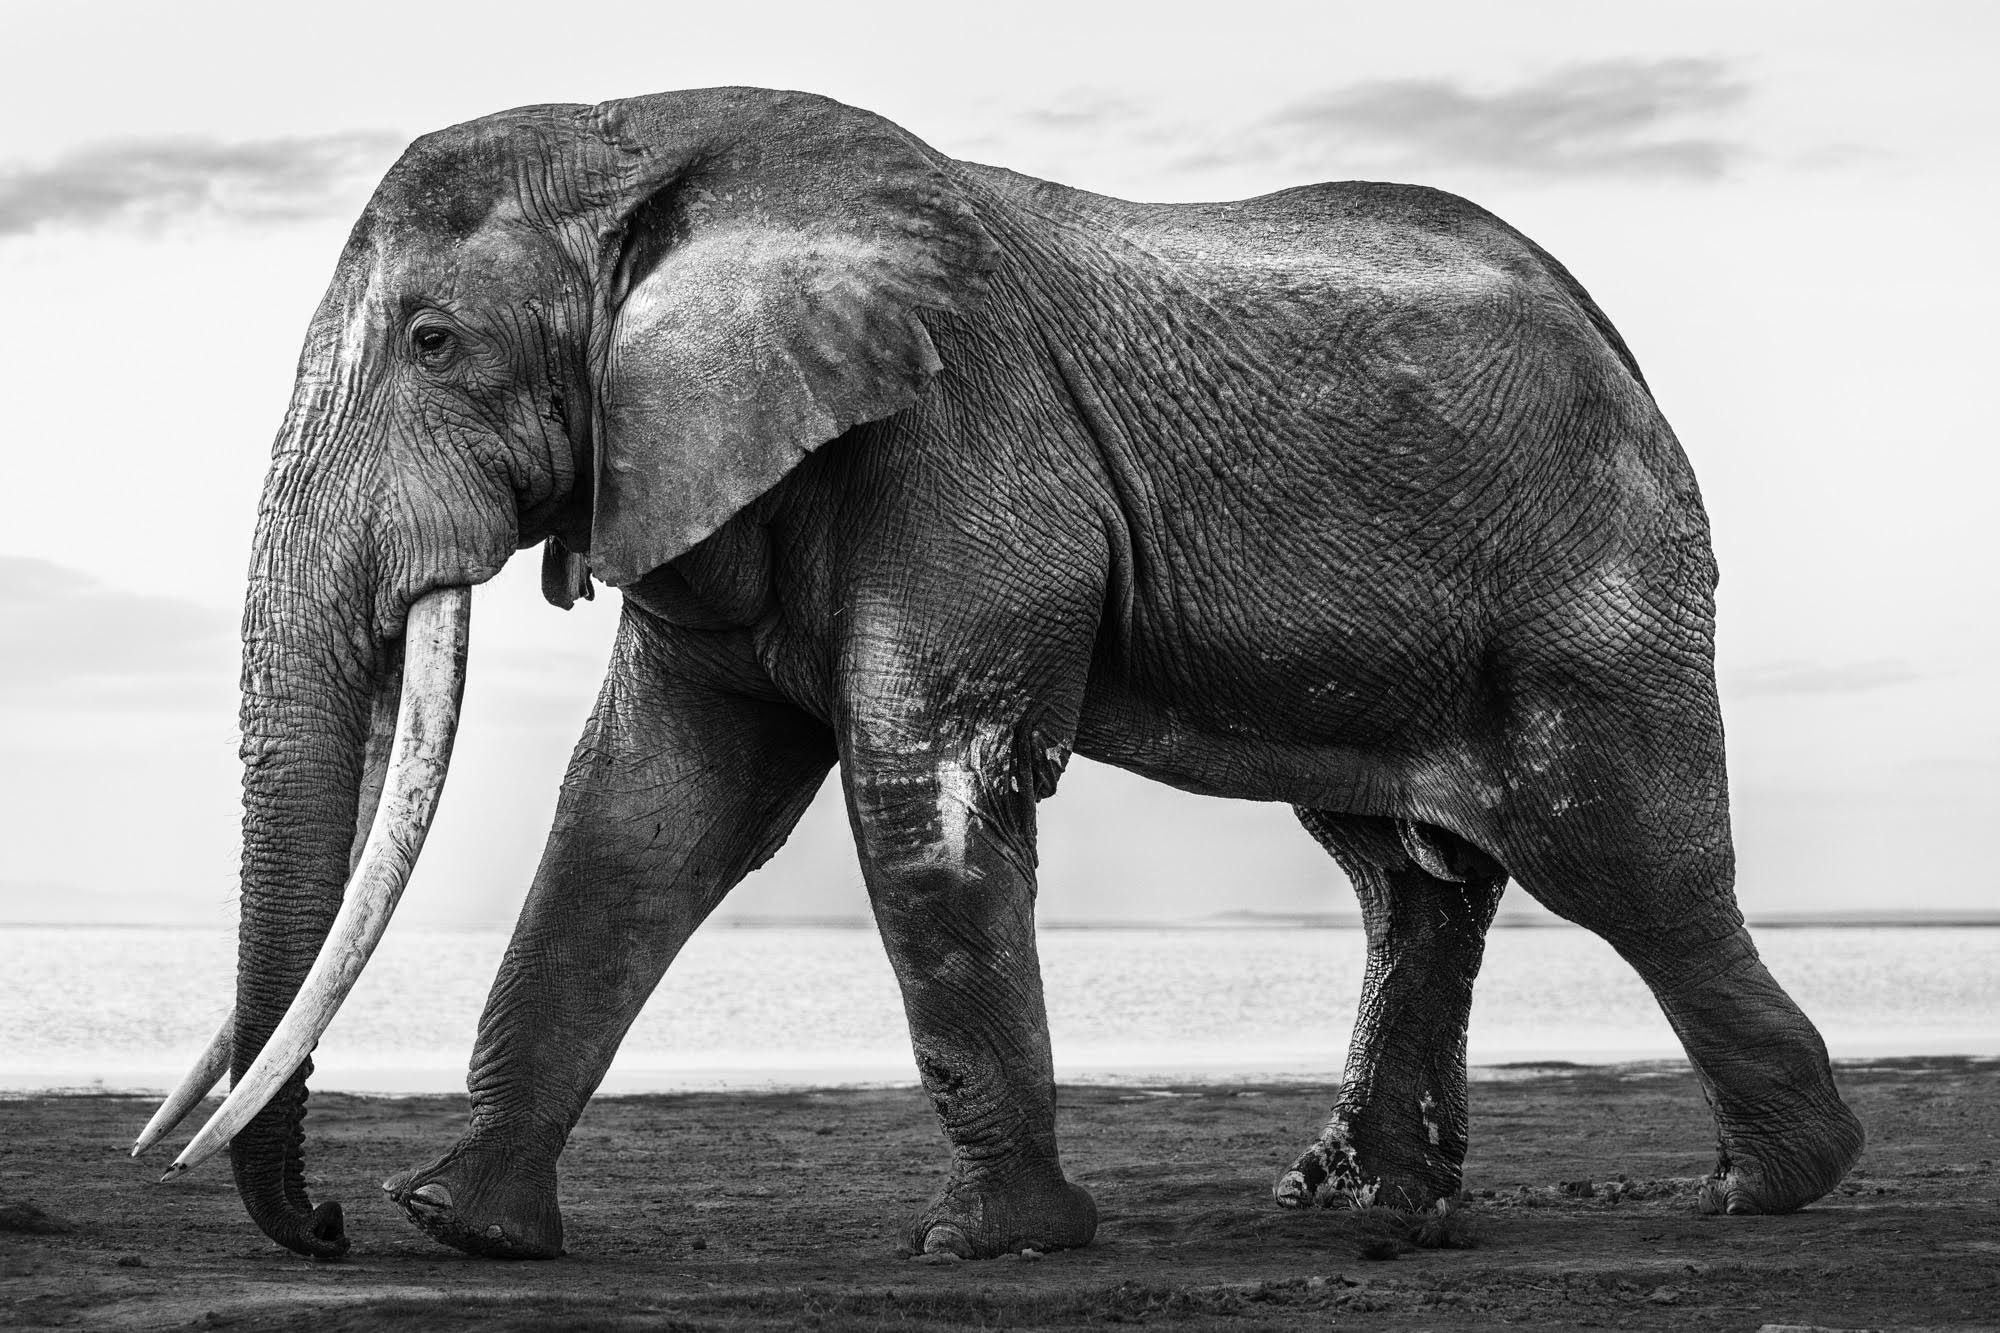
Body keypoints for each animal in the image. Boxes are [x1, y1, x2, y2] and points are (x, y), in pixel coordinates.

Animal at [135, 86, 1864, 1261]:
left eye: (433, 343)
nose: (331, 1225)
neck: (648, 136)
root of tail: (1617, 344)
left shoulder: (962, 430)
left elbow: (918, 780)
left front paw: (997, 1244)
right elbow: (643, 808)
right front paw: (465, 1228)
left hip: (1595, 583)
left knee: (1620, 857)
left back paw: (1776, 1185)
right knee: (1406, 876)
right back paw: (1367, 1208)